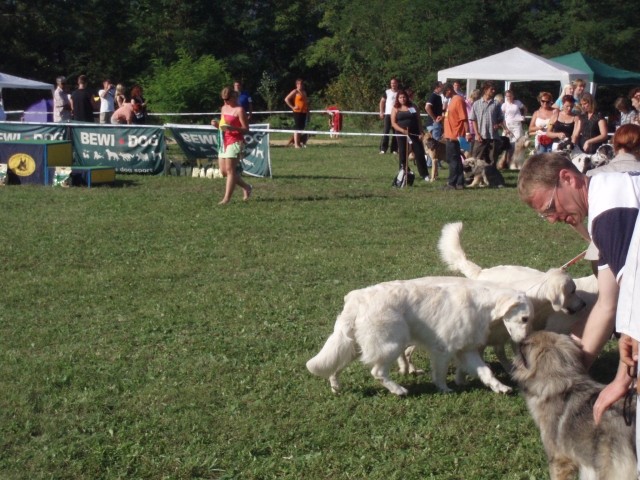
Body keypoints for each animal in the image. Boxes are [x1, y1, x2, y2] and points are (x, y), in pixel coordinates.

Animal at [308, 276, 532, 396]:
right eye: (524, 319)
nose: (523, 342)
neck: (482, 304)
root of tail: (355, 300)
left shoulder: (467, 350)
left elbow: (486, 372)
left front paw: (500, 387)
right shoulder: (443, 350)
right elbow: (440, 374)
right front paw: (444, 389)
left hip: (352, 347)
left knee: (335, 368)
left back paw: (336, 387)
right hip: (391, 345)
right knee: (377, 372)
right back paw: (398, 390)